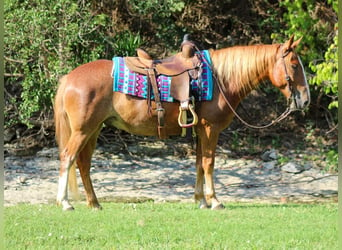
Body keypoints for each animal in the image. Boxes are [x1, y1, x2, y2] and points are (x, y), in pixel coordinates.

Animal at [54, 35, 310, 211]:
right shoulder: (210, 128)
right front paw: (215, 201)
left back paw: (94, 203)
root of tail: (69, 77)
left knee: (83, 164)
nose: (305, 100)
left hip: (94, 129)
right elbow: (208, 163)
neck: (221, 80)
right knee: (68, 158)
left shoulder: (199, 130)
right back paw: (65, 202)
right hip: (83, 130)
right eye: (294, 64)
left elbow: (198, 163)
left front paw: (200, 201)